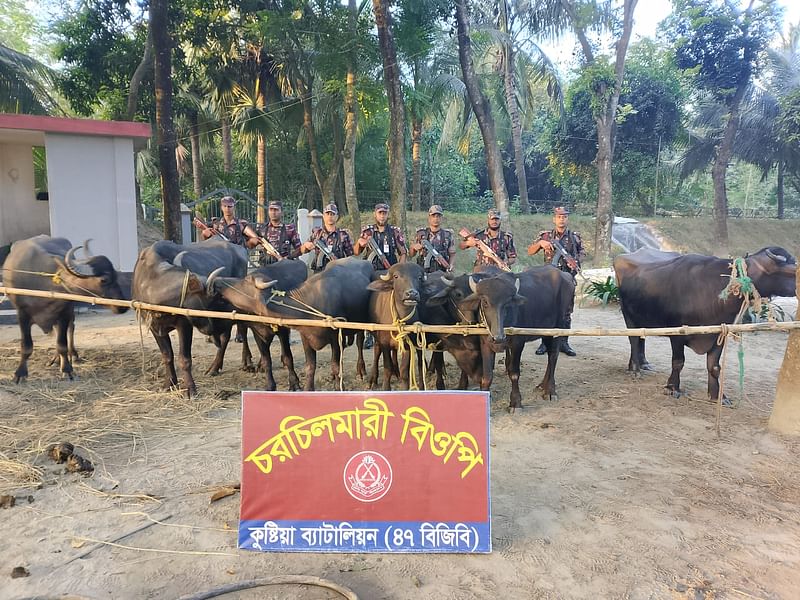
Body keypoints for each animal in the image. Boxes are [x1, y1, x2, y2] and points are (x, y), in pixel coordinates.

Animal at [2, 234, 128, 380]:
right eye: (104, 279)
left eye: (116, 275)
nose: (122, 307)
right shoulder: (22, 314)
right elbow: (26, 346)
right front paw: (20, 373)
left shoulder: (64, 312)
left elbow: (62, 343)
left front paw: (67, 369)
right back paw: (56, 359)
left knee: (71, 328)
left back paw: (71, 354)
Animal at [132, 237, 247, 396]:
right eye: (217, 299)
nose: (235, 304)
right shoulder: (155, 327)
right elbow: (167, 355)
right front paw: (169, 383)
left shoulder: (184, 325)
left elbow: (184, 359)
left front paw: (191, 389)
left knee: (229, 337)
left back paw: (224, 366)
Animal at [612, 246, 792, 400]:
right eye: (790, 270)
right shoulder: (677, 334)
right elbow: (678, 362)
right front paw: (673, 388)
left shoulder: (719, 332)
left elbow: (714, 366)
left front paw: (717, 396)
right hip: (628, 314)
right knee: (634, 340)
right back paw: (635, 369)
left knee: (641, 338)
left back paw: (643, 364)